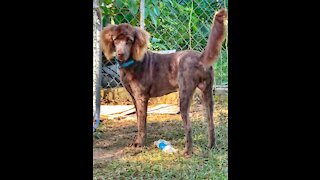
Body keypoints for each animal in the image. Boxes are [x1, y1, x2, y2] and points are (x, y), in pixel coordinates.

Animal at [100, 8, 228, 158]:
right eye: (115, 40)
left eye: (129, 41)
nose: (120, 54)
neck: (132, 63)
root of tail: (200, 58)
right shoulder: (133, 97)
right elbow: (138, 120)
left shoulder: (141, 97)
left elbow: (141, 123)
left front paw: (139, 143)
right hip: (207, 93)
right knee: (211, 122)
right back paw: (211, 146)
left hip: (184, 95)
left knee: (189, 127)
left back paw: (187, 152)